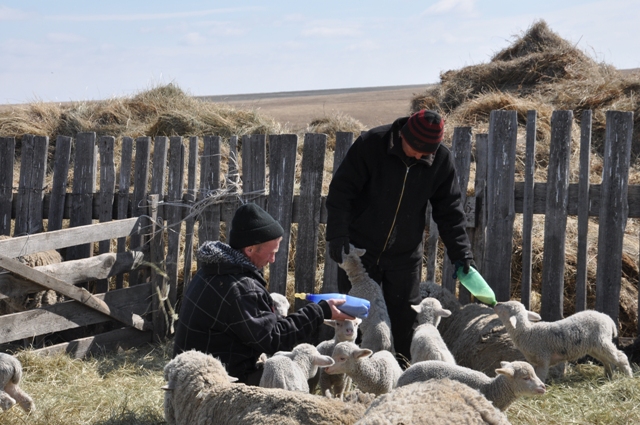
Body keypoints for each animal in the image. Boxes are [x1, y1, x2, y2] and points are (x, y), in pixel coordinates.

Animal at [492, 298, 632, 380]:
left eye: (506, 309)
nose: (497, 303)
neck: (527, 332)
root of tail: (607, 318)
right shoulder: (536, 360)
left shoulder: (543, 358)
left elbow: (541, 375)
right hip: (594, 347)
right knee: (607, 359)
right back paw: (608, 376)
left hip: (601, 341)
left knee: (620, 357)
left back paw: (628, 376)